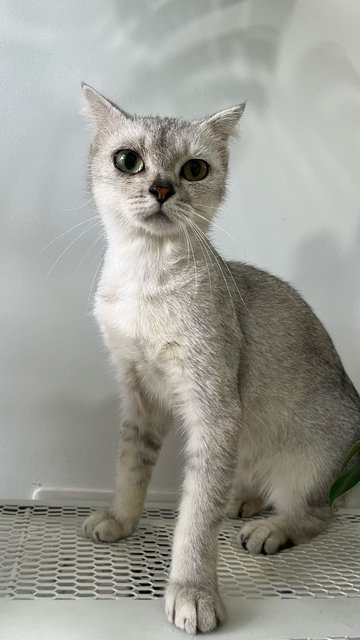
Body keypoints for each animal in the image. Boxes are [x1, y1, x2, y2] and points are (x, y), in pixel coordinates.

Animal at [81, 85, 360, 636]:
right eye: (128, 160)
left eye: (194, 170)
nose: (162, 189)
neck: (146, 282)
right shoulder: (139, 396)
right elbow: (130, 467)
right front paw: (121, 520)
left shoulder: (214, 409)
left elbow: (195, 515)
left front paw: (193, 591)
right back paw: (243, 500)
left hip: (308, 463)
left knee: (320, 514)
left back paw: (270, 528)